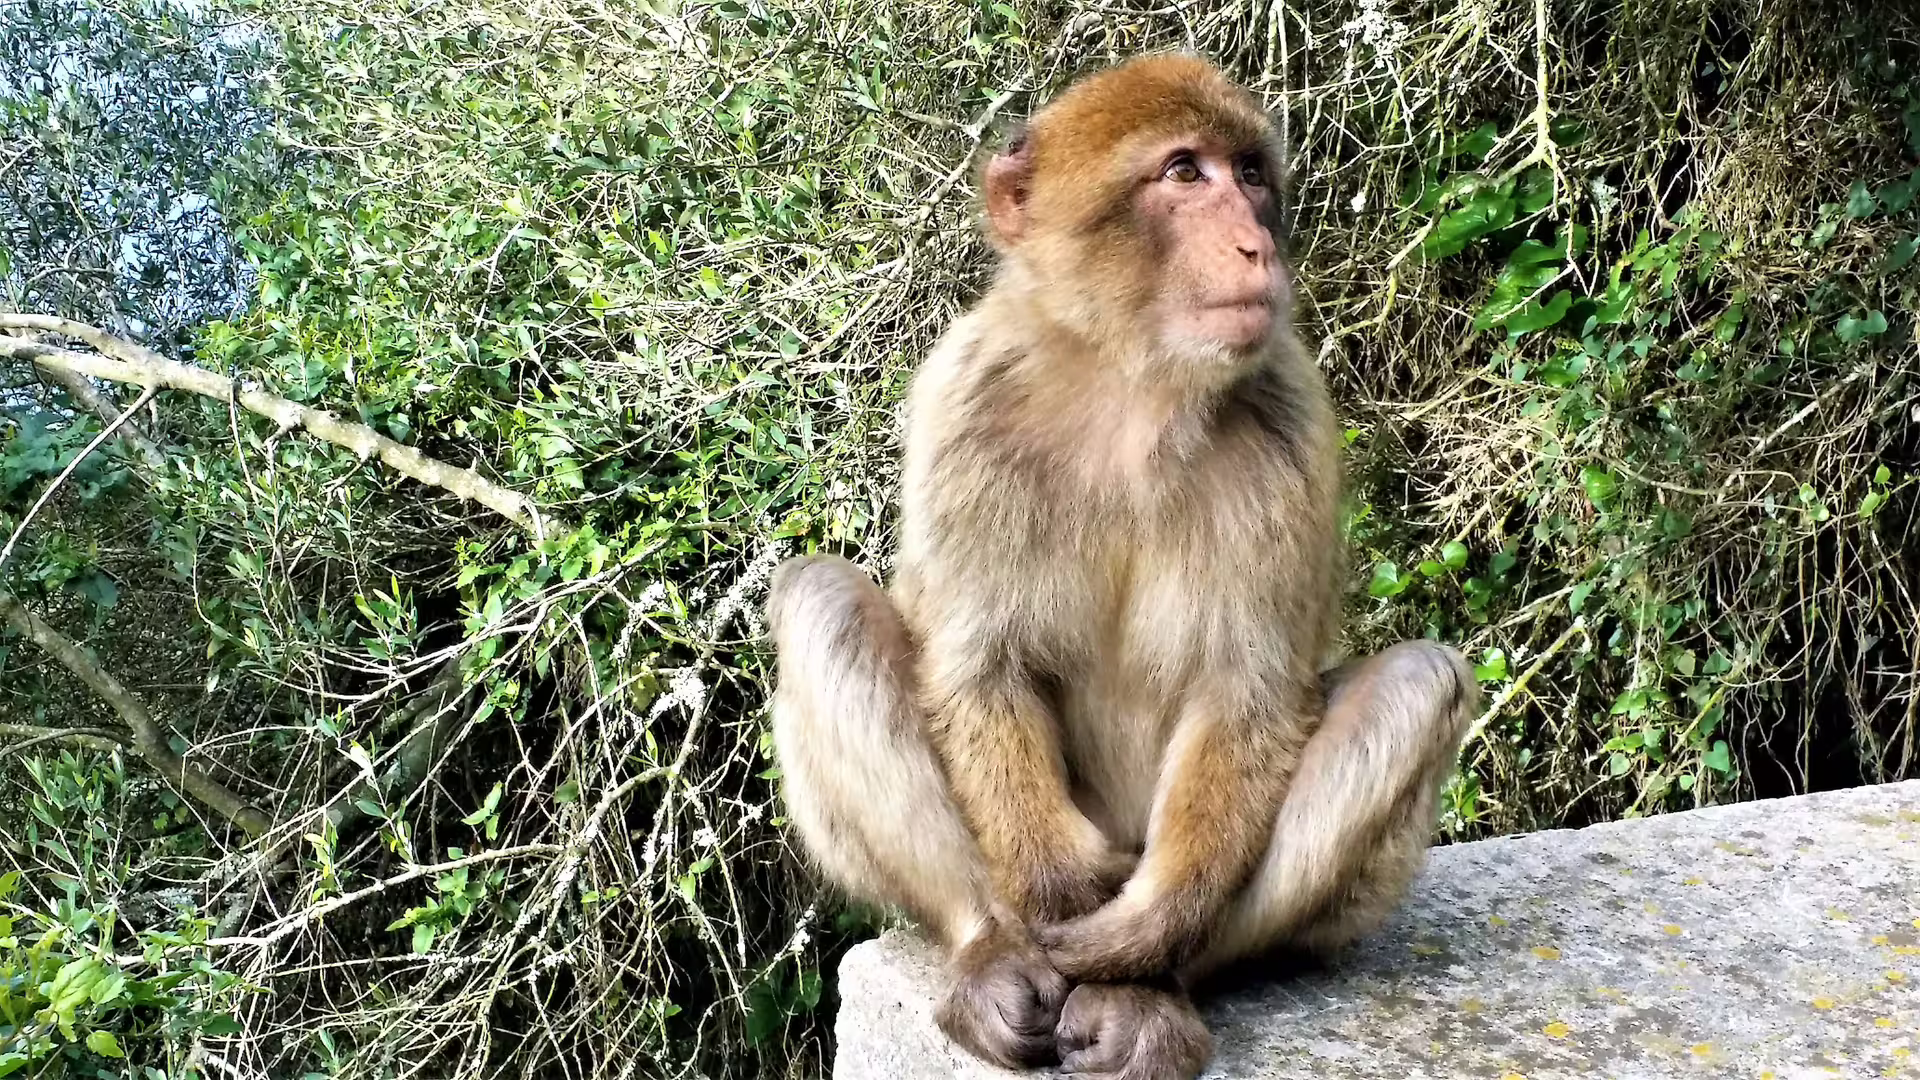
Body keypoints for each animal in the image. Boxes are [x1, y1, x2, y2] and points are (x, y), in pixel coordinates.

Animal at [765, 53, 1478, 1080]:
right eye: (1184, 173)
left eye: (1249, 174)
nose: (1255, 248)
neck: (1133, 387)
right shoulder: (962, 409)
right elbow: (981, 668)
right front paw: (1056, 891)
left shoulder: (1294, 424)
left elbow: (1246, 694)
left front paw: (1136, 938)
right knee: (818, 598)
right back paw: (993, 949)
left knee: (1419, 682)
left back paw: (1144, 982)